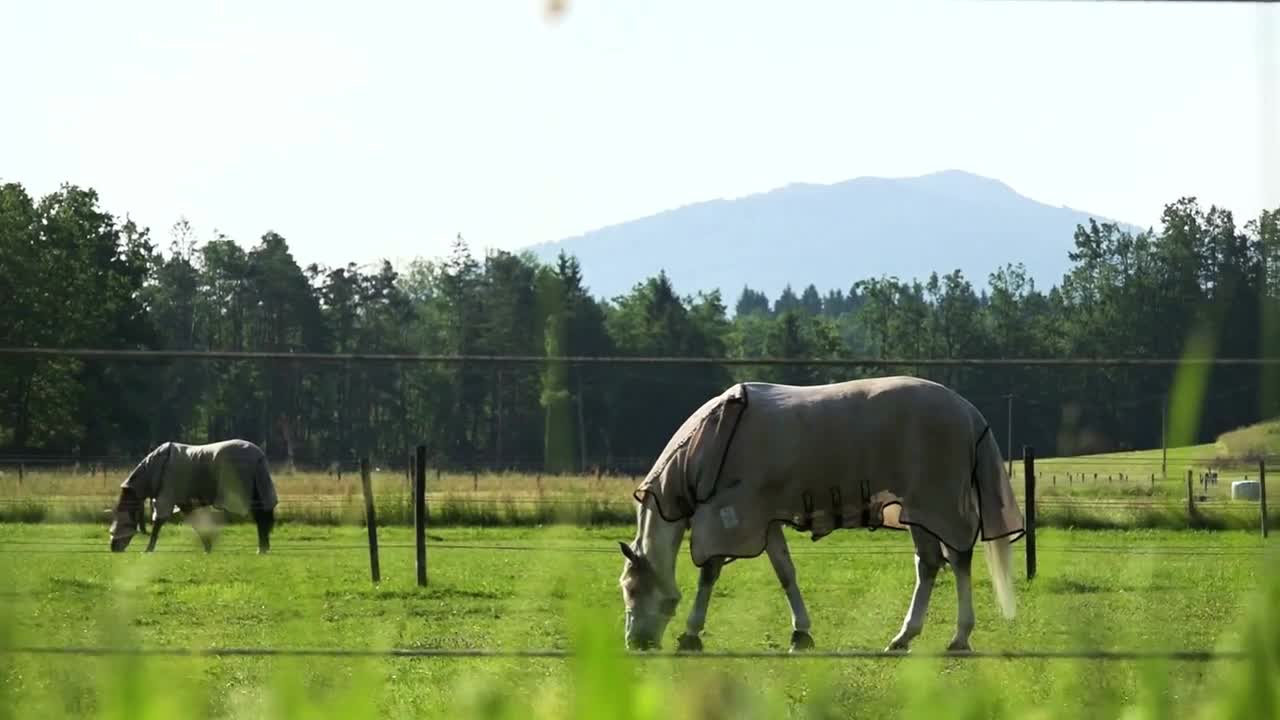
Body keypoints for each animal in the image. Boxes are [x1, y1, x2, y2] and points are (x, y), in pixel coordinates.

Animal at [110, 438, 280, 548]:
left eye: (124, 522)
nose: (113, 547)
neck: (156, 468)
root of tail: (258, 455)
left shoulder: (166, 498)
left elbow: (158, 523)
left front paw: (148, 550)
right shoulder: (183, 502)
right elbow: (194, 523)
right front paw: (208, 546)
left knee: (261, 518)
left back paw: (262, 548)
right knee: (262, 517)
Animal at [614, 379, 1024, 653]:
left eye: (631, 588)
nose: (634, 643)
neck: (709, 442)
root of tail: (968, 411)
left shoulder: (730, 516)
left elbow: (709, 574)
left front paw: (691, 634)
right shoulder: (765, 520)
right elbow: (785, 572)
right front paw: (801, 634)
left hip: (935, 504)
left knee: (956, 559)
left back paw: (958, 636)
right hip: (919, 511)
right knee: (931, 564)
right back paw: (905, 637)